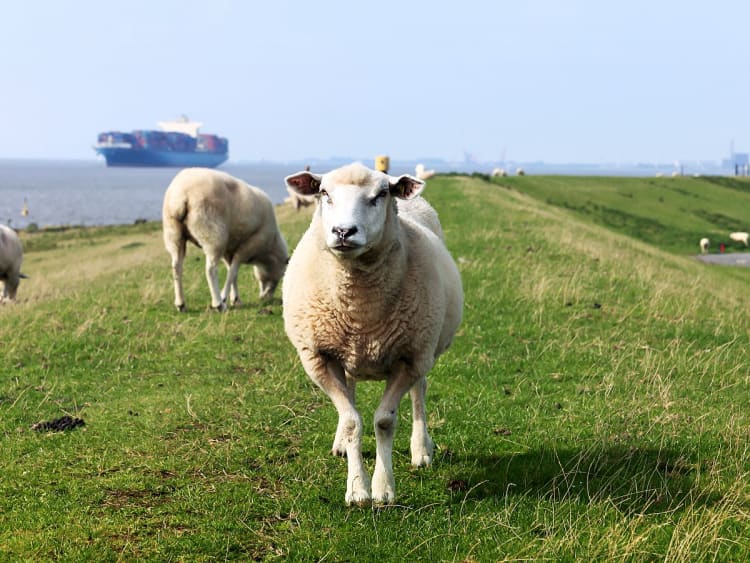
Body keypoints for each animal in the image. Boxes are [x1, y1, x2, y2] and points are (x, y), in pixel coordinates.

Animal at [162, 168, 289, 312]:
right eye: (281, 275)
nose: (266, 299)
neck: (268, 249)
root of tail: (181, 195)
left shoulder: (229, 249)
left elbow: (231, 272)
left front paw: (235, 299)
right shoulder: (248, 246)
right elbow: (232, 272)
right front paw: (224, 297)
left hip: (174, 233)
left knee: (176, 266)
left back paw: (181, 304)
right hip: (213, 234)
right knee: (210, 270)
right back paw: (218, 304)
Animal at [282, 162, 463, 506]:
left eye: (381, 194)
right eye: (323, 192)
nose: (343, 232)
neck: (359, 309)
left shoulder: (410, 357)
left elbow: (384, 420)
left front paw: (383, 488)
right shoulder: (318, 357)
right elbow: (353, 421)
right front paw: (357, 489)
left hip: (425, 348)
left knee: (419, 392)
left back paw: (421, 449)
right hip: (346, 351)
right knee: (350, 395)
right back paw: (341, 442)